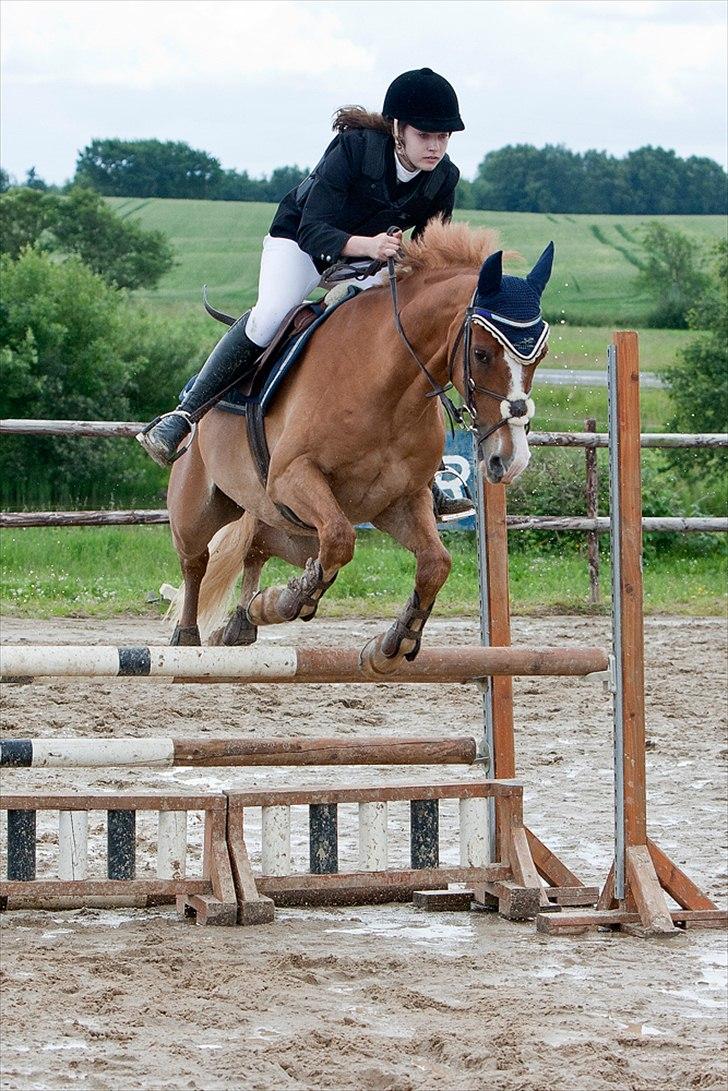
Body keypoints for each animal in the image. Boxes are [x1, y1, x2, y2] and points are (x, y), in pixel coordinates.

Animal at [166, 220, 552, 672]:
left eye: (541, 355)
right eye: (481, 353)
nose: (510, 459)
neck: (388, 390)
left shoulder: (401, 500)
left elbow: (435, 563)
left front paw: (396, 642)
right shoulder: (292, 476)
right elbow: (339, 538)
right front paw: (292, 598)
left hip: (288, 529)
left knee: (258, 548)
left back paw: (244, 620)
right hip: (200, 505)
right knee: (196, 562)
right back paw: (188, 635)